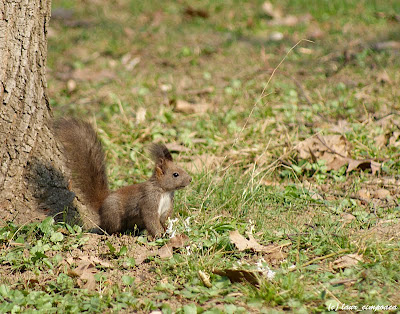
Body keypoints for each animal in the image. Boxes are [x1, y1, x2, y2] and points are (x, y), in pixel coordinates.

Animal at [54, 119, 192, 237]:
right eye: (175, 174)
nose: (190, 179)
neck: (164, 191)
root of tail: (102, 207)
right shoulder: (149, 200)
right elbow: (151, 220)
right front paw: (159, 235)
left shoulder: (166, 208)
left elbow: (164, 220)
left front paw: (168, 232)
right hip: (114, 216)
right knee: (108, 229)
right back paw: (115, 234)